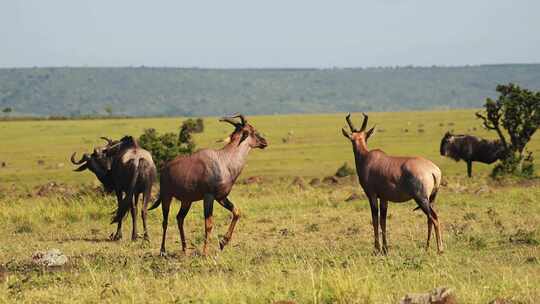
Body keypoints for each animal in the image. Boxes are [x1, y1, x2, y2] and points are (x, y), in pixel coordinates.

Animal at [148, 113, 268, 255]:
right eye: (252, 130)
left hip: (186, 201)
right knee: (165, 221)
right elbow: (208, 224)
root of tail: (164, 168)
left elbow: (236, 212)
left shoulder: (221, 197)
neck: (223, 160)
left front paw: (223, 242)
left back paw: (184, 249)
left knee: (179, 218)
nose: (264, 142)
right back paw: (163, 251)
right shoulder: (209, 197)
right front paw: (205, 252)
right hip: (167, 197)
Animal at [342, 113, 442, 253]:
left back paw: (440, 249)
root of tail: (434, 171)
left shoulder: (372, 195)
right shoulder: (384, 198)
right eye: (353, 139)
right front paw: (385, 249)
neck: (367, 158)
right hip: (430, 199)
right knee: (429, 219)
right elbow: (383, 220)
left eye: (362, 138)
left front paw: (377, 249)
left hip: (421, 198)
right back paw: (427, 247)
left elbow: (375, 219)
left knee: (434, 218)